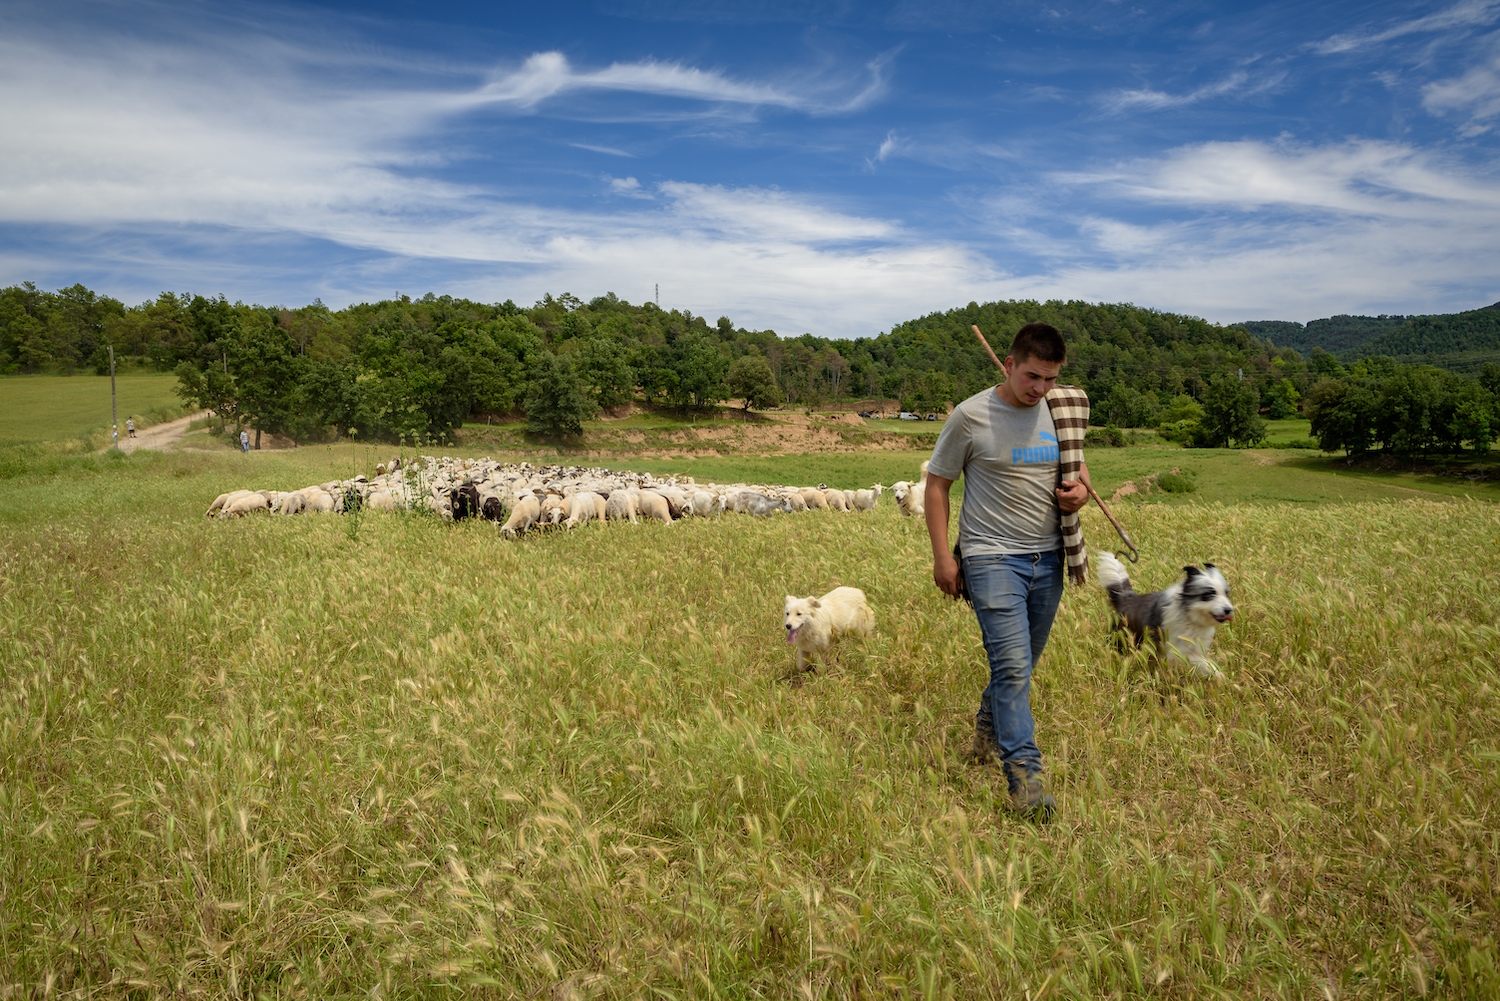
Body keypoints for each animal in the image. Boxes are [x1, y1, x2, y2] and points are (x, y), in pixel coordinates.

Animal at [1098, 549, 1236, 681]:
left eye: (1226, 593)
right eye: (1209, 594)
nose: (1228, 610)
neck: (1189, 617)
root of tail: (1126, 598)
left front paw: (1221, 678)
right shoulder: (1176, 649)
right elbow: (1200, 662)